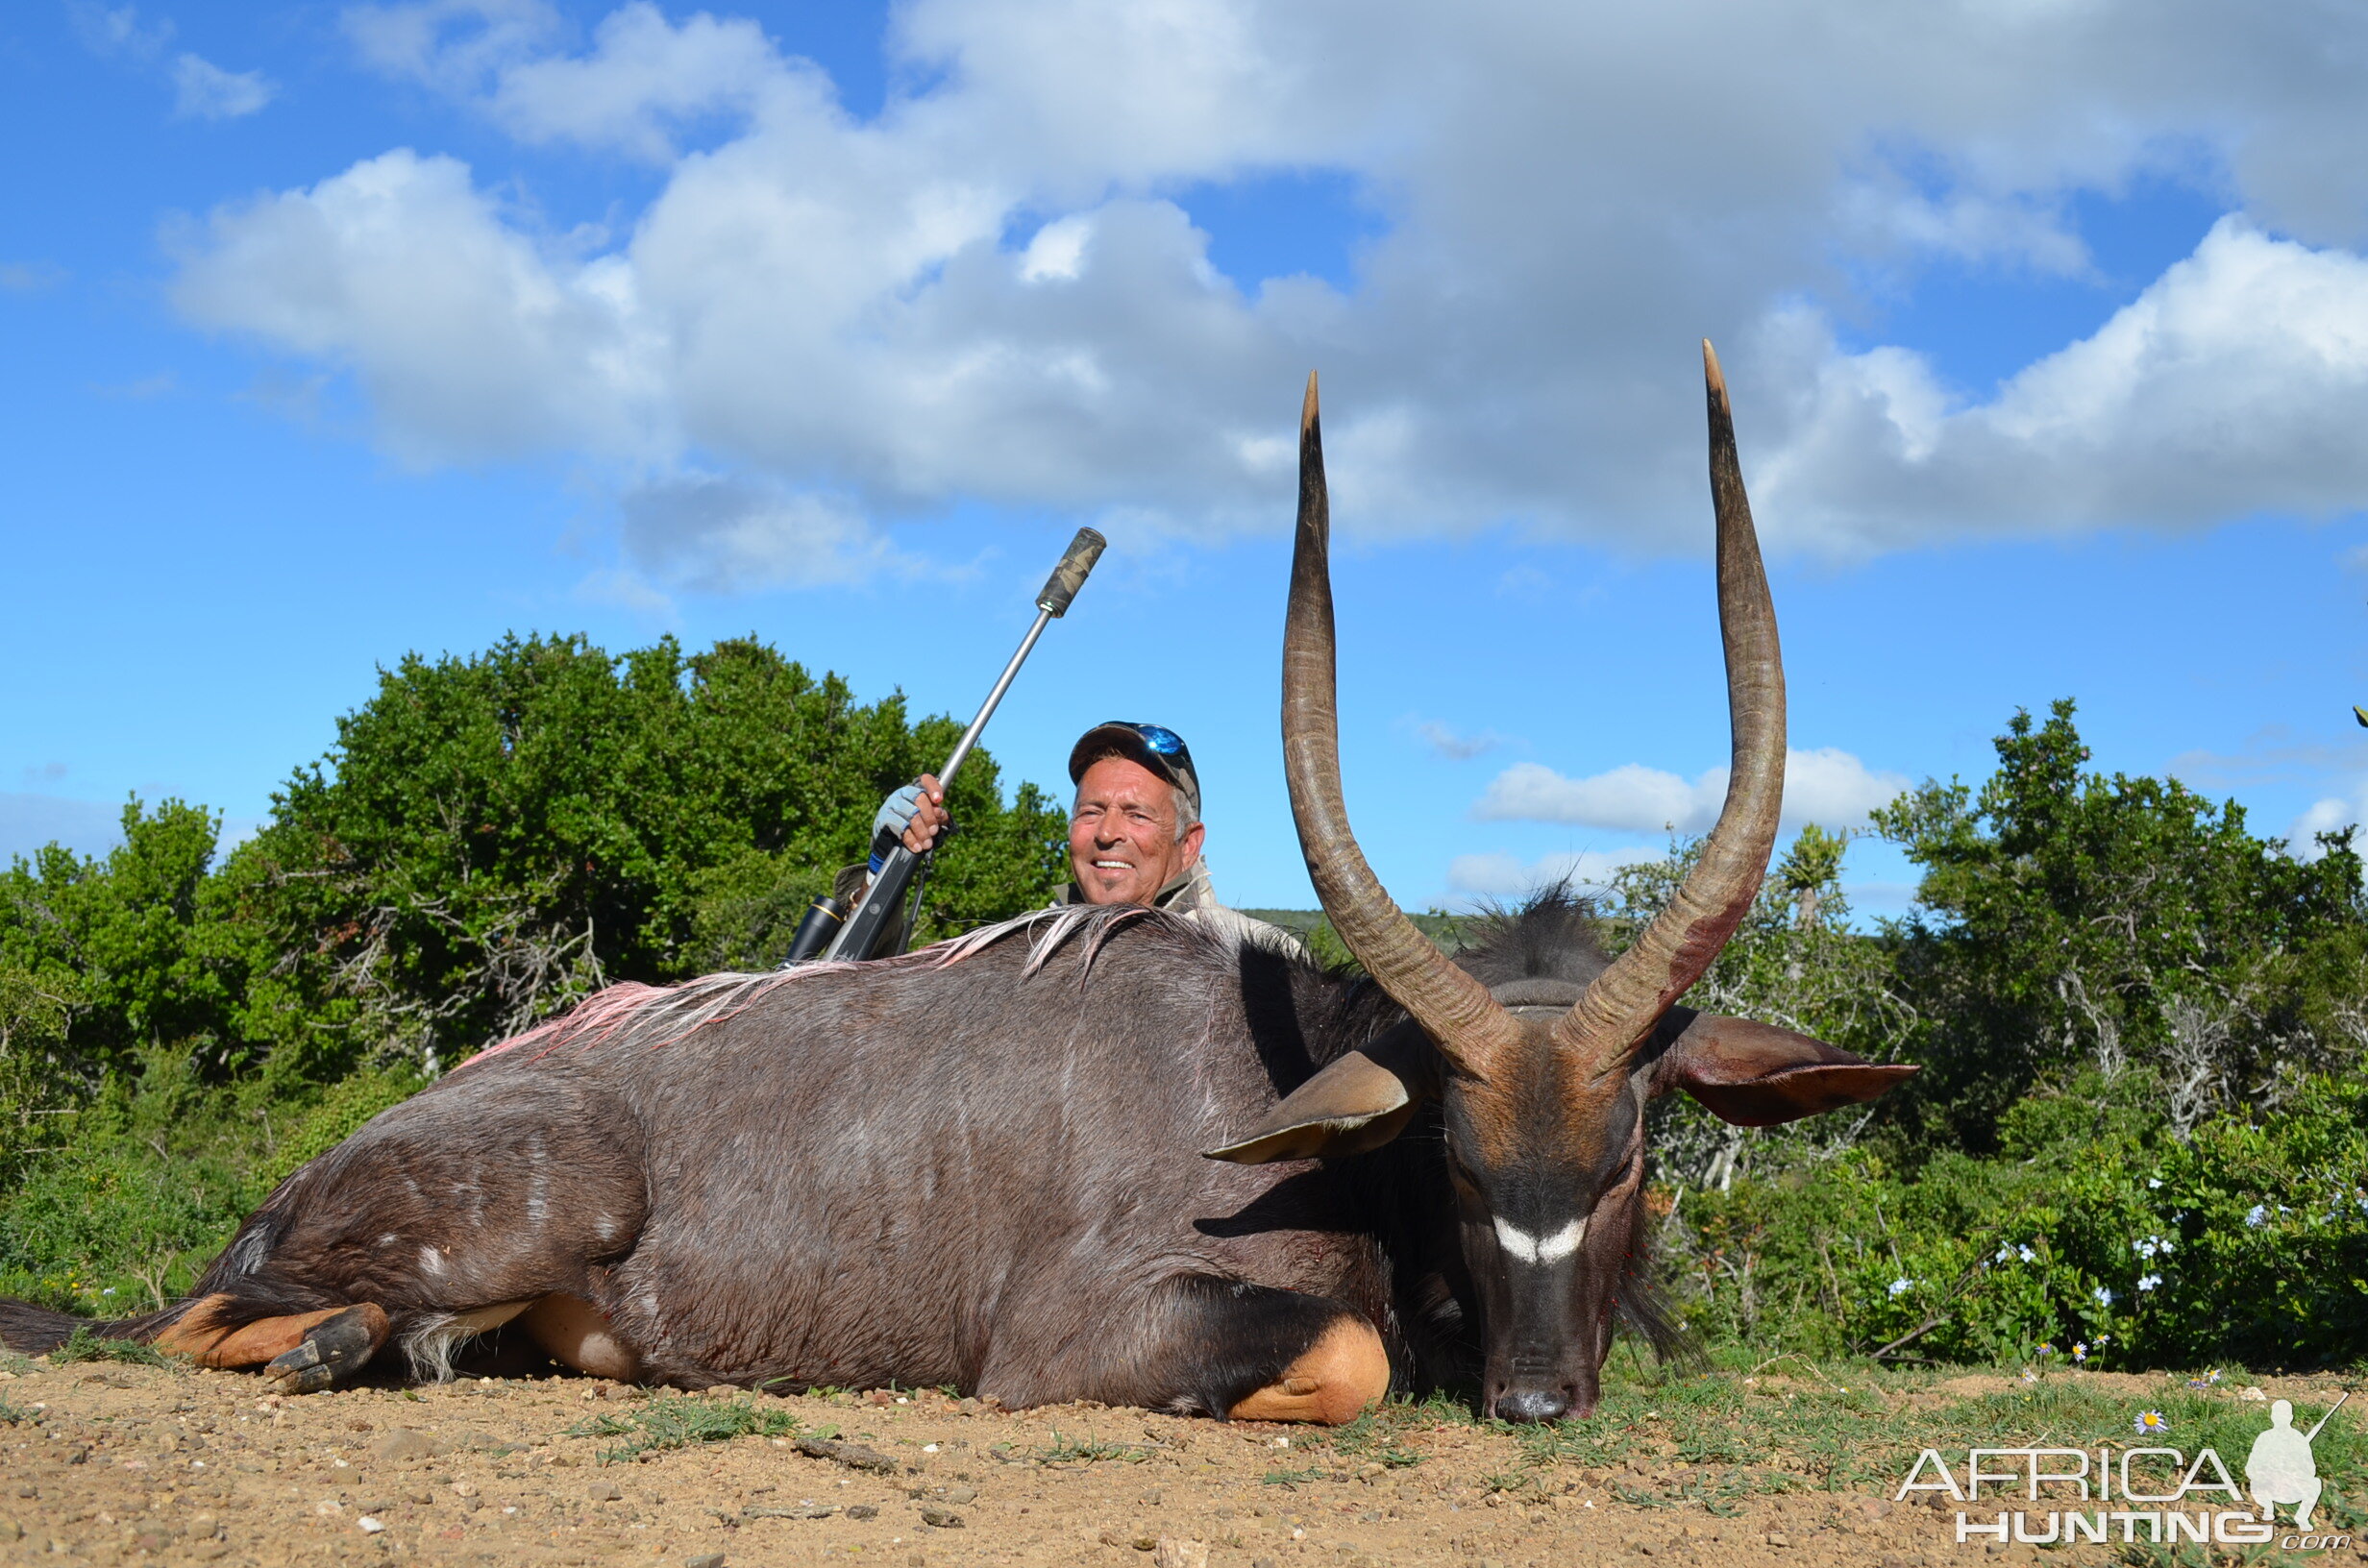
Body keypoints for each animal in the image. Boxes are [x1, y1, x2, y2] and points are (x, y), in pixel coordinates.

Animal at [0, 348, 1912, 1421]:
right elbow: (1347, 1359)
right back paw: (336, 1348)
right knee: (180, 1324)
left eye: (1632, 1146)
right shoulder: (1080, 1336)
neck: (1274, 1080)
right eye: (1446, 1148)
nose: (1531, 1398)